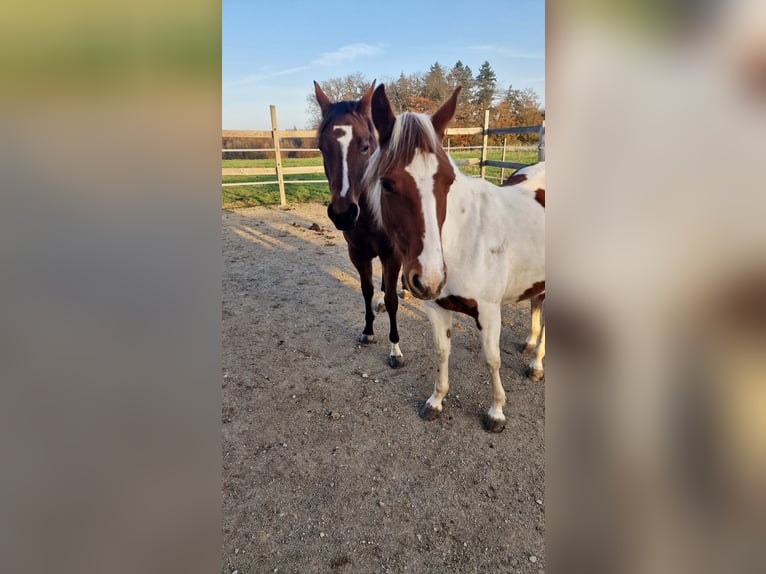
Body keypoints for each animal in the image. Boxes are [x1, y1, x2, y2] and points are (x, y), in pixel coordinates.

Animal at [312, 81, 408, 368]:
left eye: (365, 146)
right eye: (321, 147)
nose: (343, 213)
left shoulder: (392, 254)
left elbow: (391, 298)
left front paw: (395, 349)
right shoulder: (358, 254)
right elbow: (367, 290)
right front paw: (368, 331)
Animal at [364, 85, 544, 434]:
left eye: (448, 180)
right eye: (388, 183)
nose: (429, 278)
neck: (463, 239)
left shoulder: (488, 312)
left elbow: (491, 360)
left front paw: (496, 412)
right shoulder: (436, 308)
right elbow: (442, 352)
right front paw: (435, 402)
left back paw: (537, 364)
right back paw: (530, 347)